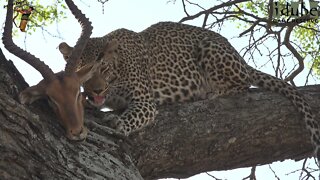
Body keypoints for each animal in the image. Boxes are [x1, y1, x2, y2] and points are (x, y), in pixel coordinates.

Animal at [59, 21, 320, 160]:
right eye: (82, 73)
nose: (96, 90)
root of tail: (242, 60)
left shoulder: (145, 101)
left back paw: (210, 93)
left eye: (103, 68)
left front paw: (118, 122)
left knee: (243, 84)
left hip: (210, 49)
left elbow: (133, 115)